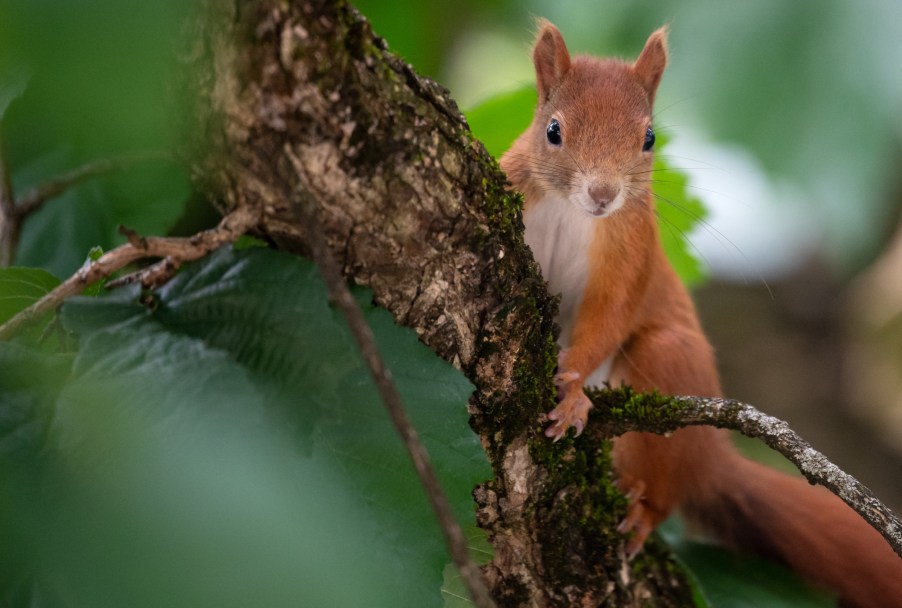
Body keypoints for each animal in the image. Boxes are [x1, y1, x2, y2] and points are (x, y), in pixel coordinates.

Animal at [500, 20, 902, 607]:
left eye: (649, 138)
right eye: (552, 130)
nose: (603, 193)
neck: (572, 213)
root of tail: (712, 458)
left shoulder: (633, 252)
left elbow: (609, 315)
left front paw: (571, 390)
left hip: (668, 369)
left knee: (664, 483)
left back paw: (643, 511)